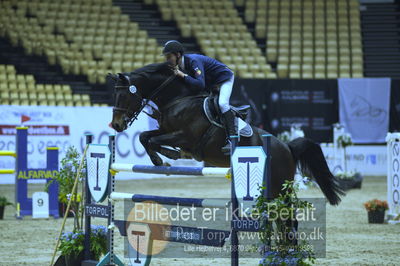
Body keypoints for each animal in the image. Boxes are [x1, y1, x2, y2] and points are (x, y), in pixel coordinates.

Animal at [109, 62, 344, 206]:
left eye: (125, 96)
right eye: (115, 95)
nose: (116, 125)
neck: (178, 99)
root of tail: (287, 147)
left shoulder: (185, 137)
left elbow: (154, 140)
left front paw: (165, 158)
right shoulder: (166, 129)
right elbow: (145, 137)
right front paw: (164, 158)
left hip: (279, 186)